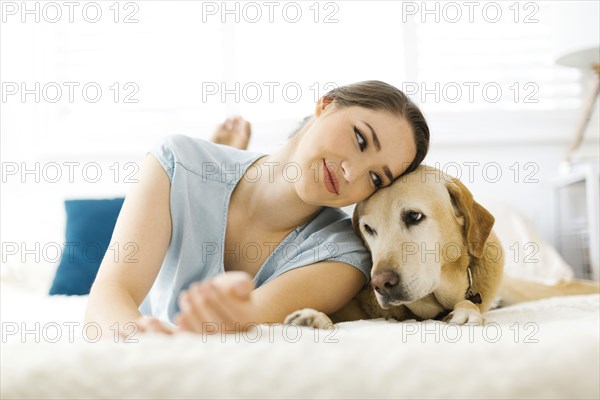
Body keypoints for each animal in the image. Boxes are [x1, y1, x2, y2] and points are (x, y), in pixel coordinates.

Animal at [286, 164, 600, 326]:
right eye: (368, 229)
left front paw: (466, 311)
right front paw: (312, 317)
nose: (381, 283)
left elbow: (469, 304)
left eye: (413, 216)